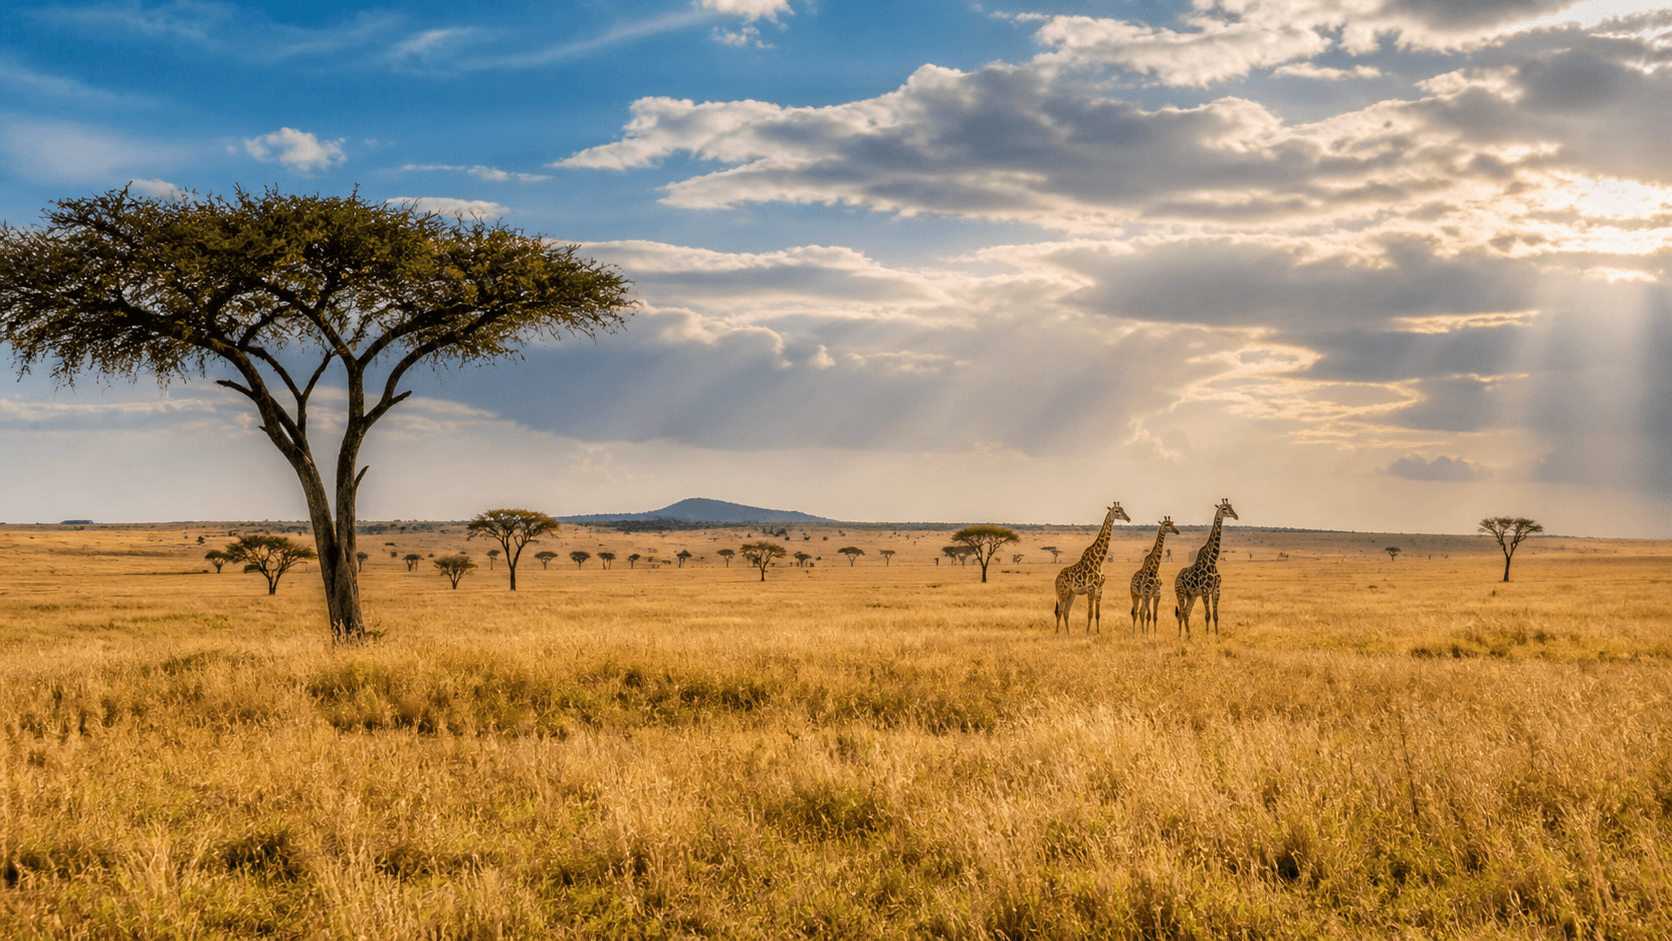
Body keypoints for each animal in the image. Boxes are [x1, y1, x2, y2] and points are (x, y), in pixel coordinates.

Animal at [1054, 502, 1131, 635]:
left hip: (1071, 593)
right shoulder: (1090, 588)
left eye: (1123, 509)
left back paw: (1069, 634)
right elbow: (1089, 613)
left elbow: (1097, 614)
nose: (1128, 518)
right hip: (1062, 591)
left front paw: (1098, 632)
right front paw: (1087, 633)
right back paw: (1057, 633)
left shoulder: (1099, 589)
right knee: (1060, 611)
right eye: (1116, 511)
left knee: (1066, 611)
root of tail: (1056, 579)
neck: (1098, 561)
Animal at [1174, 499, 1238, 639]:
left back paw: (1188, 638)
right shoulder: (1204, 591)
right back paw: (1181, 637)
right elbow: (1207, 616)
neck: (1212, 561)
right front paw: (1208, 638)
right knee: (1181, 613)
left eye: (1231, 507)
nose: (1236, 516)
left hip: (1191, 595)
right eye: (1224, 508)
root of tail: (1176, 578)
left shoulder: (1216, 590)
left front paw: (1217, 638)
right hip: (1180, 593)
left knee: (1186, 613)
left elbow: (1215, 616)